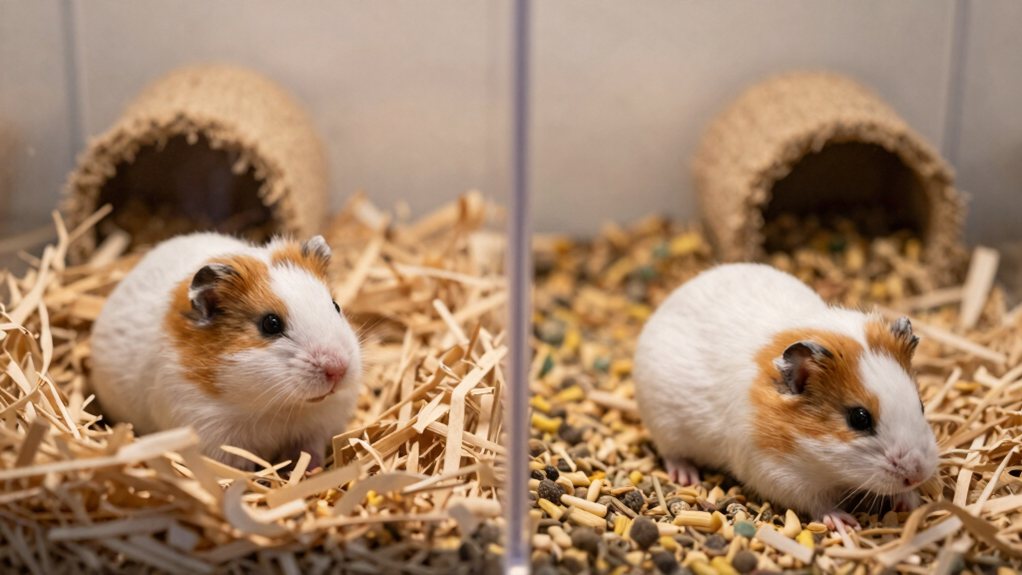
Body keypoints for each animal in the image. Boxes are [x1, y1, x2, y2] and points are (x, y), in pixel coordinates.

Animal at [90, 232, 362, 471]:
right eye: (270, 324)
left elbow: (308, 453)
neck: (278, 408)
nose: (337, 369)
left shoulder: (316, 427)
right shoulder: (213, 434)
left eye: (336, 306)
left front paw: (309, 472)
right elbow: (239, 466)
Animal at [633, 263, 938, 529]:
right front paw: (845, 523)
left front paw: (911, 502)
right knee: (672, 455)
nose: (918, 474)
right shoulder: (779, 475)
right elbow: (819, 504)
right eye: (859, 418)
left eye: (921, 406)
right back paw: (686, 477)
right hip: (665, 428)